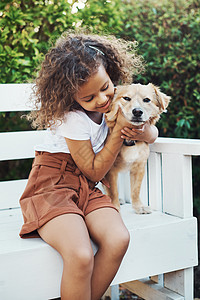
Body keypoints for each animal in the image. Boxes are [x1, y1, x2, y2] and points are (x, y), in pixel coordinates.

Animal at [104, 82, 170, 213]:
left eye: (147, 100)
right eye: (126, 98)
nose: (138, 111)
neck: (129, 140)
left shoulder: (139, 167)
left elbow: (135, 190)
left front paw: (138, 207)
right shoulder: (109, 170)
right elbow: (113, 191)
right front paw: (114, 206)